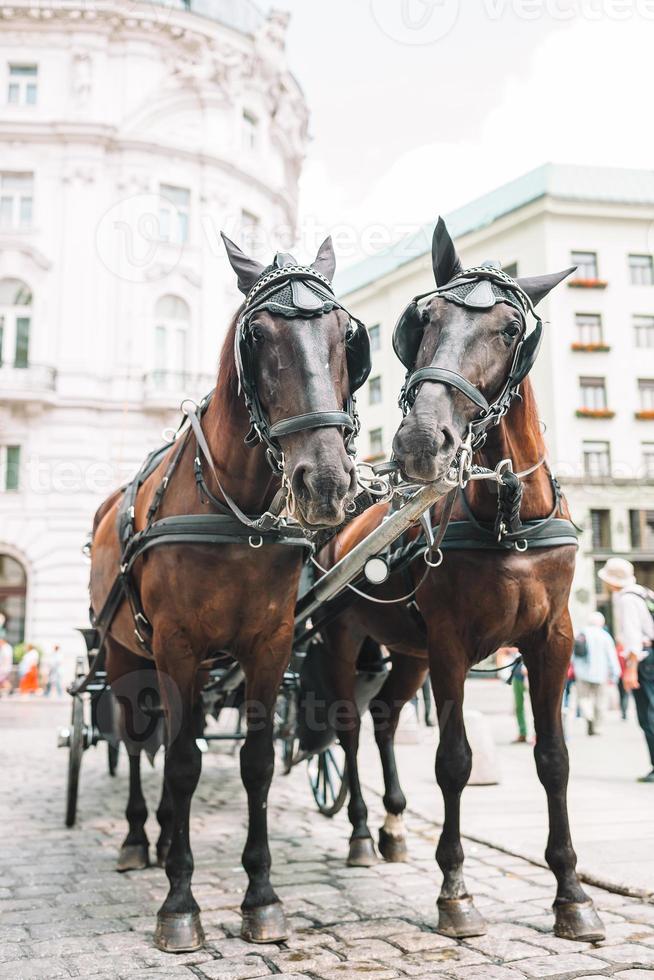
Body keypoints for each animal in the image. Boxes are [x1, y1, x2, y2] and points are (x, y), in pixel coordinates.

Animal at [88, 234, 374, 952]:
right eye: (259, 335)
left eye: (346, 336)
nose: (324, 483)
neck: (234, 512)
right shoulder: (177, 648)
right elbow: (183, 764)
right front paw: (179, 903)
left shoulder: (268, 645)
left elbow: (256, 764)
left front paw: (261, 896)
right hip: (124, 655)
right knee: (137, 741)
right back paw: (140, 837)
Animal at [316, 220, 608, 940]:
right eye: (424, 321)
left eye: (509, 330)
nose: (422, 443)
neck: (507, 515)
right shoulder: (451, 643)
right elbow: (454, 760)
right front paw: (455, 890)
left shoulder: (553, 640)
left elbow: (553, 760)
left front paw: (571, 893)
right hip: (346, 640)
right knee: (349, 728)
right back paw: (360, 831)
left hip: (407, 652)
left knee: (386, 718)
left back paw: (393, 826)